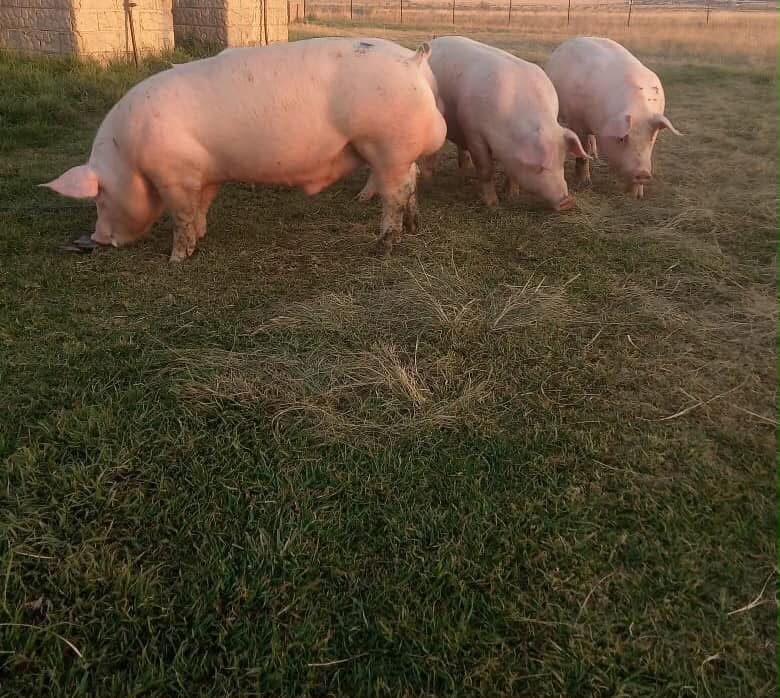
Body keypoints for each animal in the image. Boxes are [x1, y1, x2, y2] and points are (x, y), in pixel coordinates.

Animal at [42, 38, 447, 261]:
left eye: (99, 198)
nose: (96, 239)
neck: (129, 159)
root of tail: (413, 62)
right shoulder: (204, 174)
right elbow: (200, 208)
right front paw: (201, 238)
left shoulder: (174, 173)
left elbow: (181, 215)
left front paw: (176, 259)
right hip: (398, 151)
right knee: (411, 184)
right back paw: (413, 229)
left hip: (387, 145)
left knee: (395, 193)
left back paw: (384, 247)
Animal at [371, 36, 588, 211]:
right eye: (539, 167)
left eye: (562, 162)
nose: (567, 202)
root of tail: (435, 41)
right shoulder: (475, 132)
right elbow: (485, 169)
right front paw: (492, 204)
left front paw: (512, 195)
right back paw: (431, 181)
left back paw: (463, 170)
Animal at [545, 37, 681, 199]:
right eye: (622, 138)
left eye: (651, 138)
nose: (643, 173)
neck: (638, 110)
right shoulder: (577, 121)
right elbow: (583, 153)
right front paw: (585, 182)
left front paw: (637, 197)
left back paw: (595, 155)